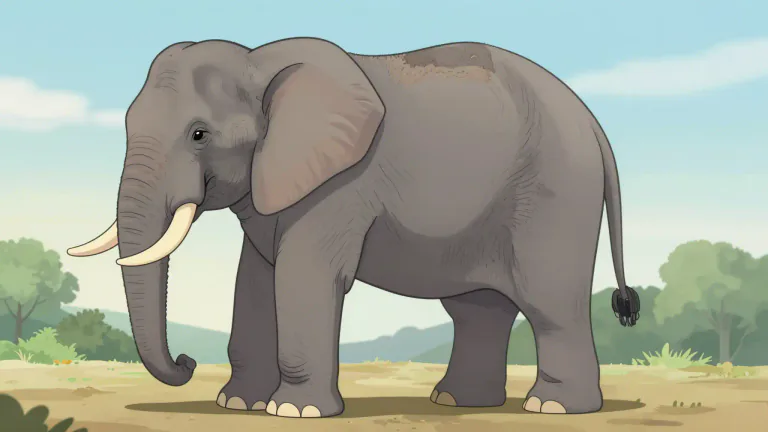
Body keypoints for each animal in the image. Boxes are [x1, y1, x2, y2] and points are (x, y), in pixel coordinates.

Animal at [67, 37, 640, 418]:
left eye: (199, 134)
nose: (186, 363)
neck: (260, 62)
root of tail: (594, 123)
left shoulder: (340, 187)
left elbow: (302, 278)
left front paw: (293, 413)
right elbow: (254, 281)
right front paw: (237, 403)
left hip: (554, 196)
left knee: (550, 303)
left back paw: (553, 407)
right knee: (477, 309)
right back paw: (457, 400)